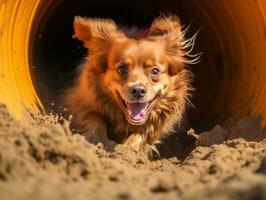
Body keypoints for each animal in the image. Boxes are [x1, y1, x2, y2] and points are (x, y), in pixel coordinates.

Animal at [64, 14, 197, 152]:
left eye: (155, 71)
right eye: (122, 69)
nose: (138, 90)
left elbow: (144, 132)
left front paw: (126, 150)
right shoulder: (76, 103)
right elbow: (95, 119)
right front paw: (98, 140)